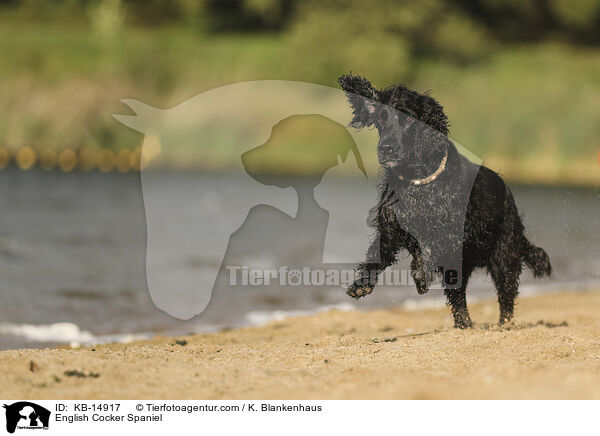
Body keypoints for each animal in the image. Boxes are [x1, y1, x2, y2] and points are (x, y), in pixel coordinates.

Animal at [336, 74, 552, 328]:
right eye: (381, 118)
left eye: (408, 117)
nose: (385, 148)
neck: (417, 182)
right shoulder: (390, 232)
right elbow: (375, 256)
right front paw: (361, 284)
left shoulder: (452, 233)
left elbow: (430, 247)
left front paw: (420, 273)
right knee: (458, 296)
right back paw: (464, 325)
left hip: (504, 254)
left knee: (506, 296)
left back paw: (504, 325)